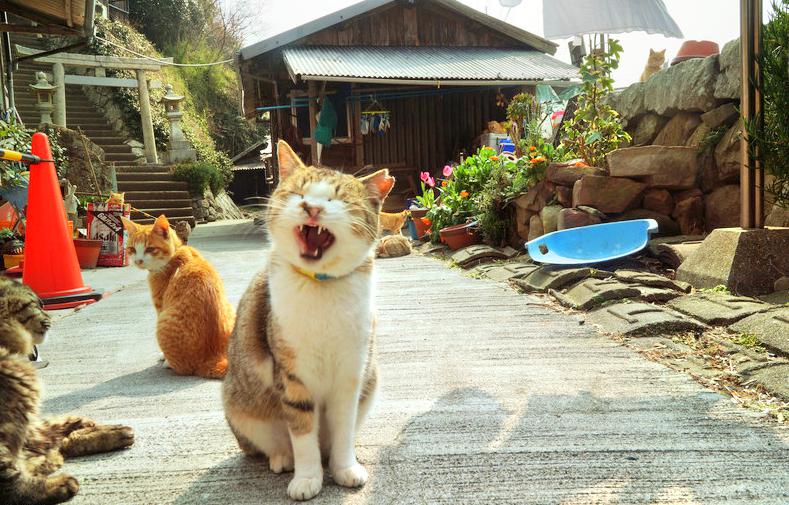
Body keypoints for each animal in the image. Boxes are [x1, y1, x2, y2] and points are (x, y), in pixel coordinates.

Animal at [0, 276, 135, 504]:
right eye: (36, 303)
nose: (49, 316)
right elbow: (11, 481)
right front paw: (44, 488)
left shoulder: (26, 424)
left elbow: (54, 427)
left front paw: (87, 426)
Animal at [118, 214, 232, 378]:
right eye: (132, 249)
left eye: (150, 249)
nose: (138, 261)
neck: (175, 253)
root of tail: (213, 358)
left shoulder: (160, 306)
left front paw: (163, 357)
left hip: (164, 320)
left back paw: (169, 363)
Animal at [222, 140, 394, 498]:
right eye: (299, 192)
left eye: (337, 198)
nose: (312, 207)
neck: (321, 286)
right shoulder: (292, 374)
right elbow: (302, 432)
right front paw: (306, 479)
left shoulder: (351, 372)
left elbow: (343, 426)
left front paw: (345, 468)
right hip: (239, 405)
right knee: (273, 442)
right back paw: (282, 458)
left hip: (371, 378)